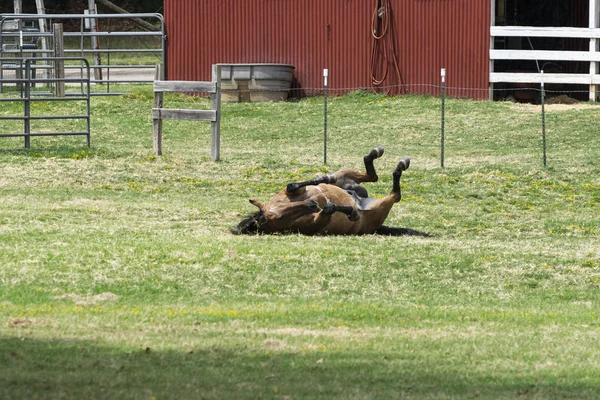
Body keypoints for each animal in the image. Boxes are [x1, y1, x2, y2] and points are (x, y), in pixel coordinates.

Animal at [233, 146, 432, 238]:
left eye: (281, 208)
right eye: (280, 218)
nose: (311, 204)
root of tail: (363, 198)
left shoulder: (296, 191)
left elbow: (293, 185)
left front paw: (322, 182)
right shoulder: (318, 221)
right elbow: (330, 209)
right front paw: (351, 212)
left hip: (345, 175)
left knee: (370, 174)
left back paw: (376, 154)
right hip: (382, 206)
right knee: (395, 194)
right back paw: (399, 166)